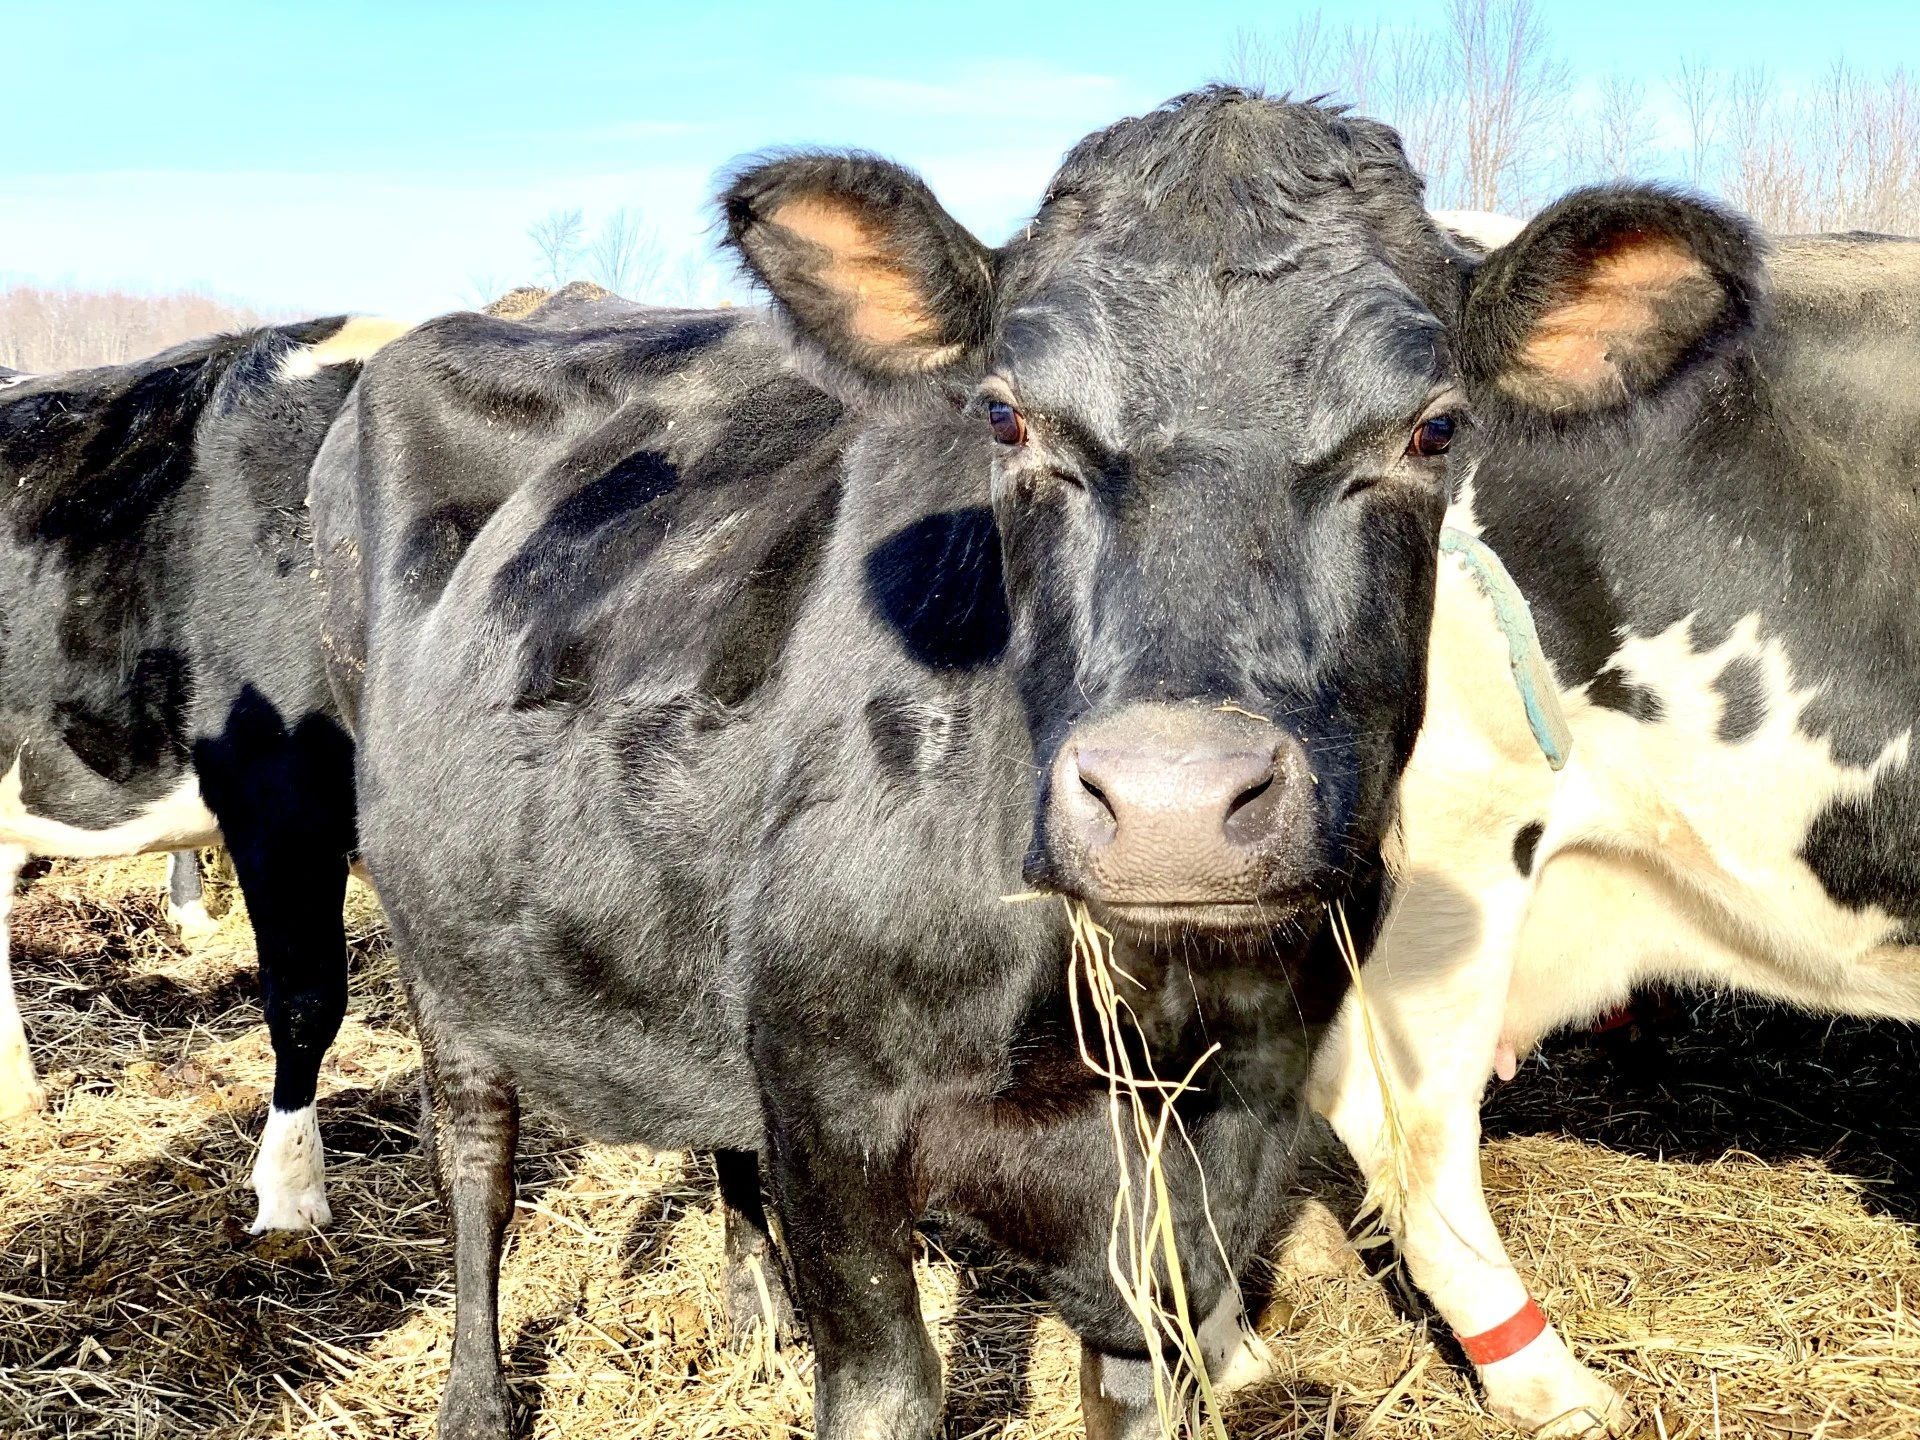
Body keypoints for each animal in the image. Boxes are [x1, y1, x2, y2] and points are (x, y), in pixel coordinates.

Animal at [315, 90, 1752, 1439]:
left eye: (1434, 428)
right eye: (1007, 418)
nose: (1174, 806)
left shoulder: (1218, 1148)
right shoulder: (833, 1114)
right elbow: (887, 1385)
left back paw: (752, 1311)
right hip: (431, 930)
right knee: (476, 1158)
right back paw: (476, 1398)